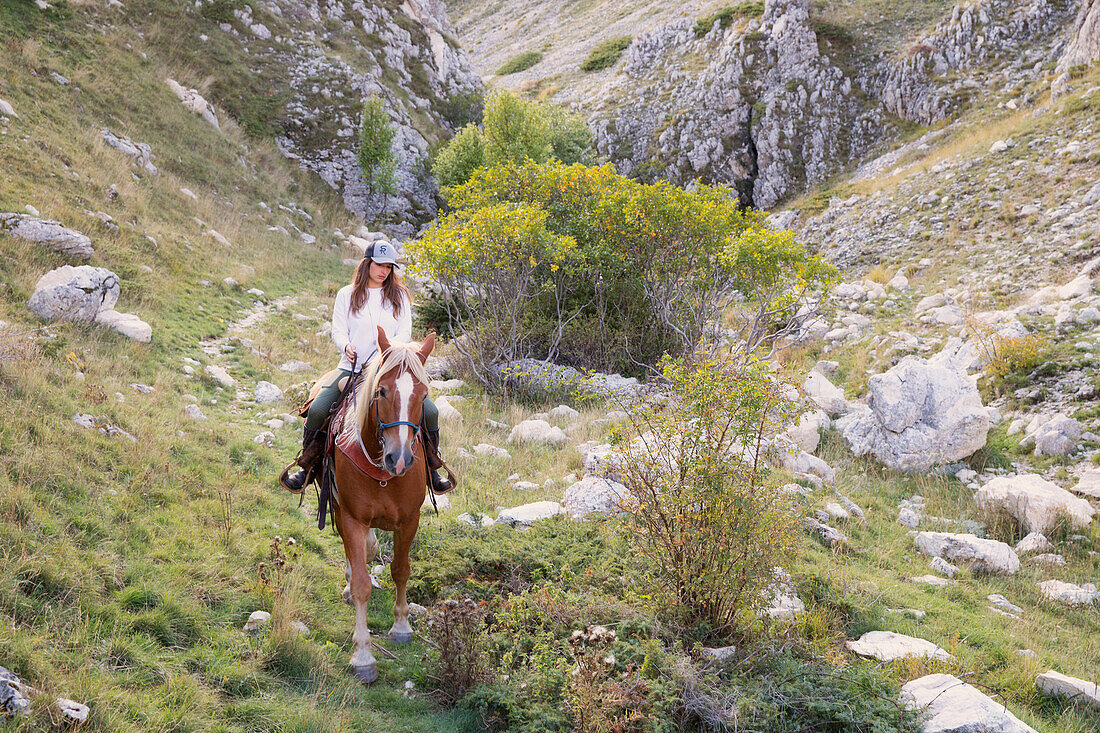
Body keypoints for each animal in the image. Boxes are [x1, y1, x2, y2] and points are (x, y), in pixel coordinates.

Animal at [330, 323, 433, 677]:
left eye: (423, 396)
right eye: (382, 391)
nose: (399, 459)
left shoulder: (410, 519)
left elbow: (401, 569)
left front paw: (401, 627)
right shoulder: (351, 517)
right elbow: (361, 583)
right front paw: (363, 656)